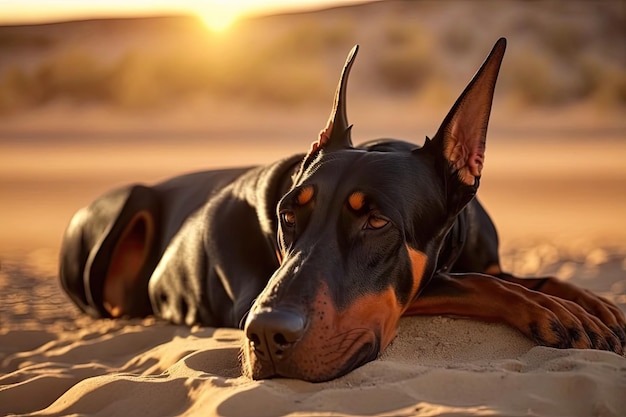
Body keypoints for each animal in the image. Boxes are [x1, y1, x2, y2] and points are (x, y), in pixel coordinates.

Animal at [59, 38, 624, 380]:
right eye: (288, 216)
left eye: (376, 222)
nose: (267, 334)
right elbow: (472, 283)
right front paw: (553, 309)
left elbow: (527, 275)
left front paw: (591, 304)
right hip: (123, 206)